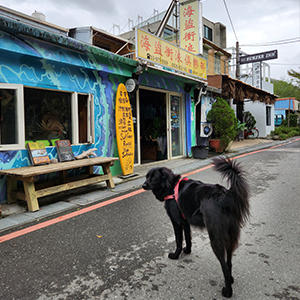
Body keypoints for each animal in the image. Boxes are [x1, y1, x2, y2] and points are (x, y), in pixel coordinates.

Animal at [142, 157, 250, 298]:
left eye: (153, 178)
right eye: (146, 176)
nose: (143, 185)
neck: (170, 186)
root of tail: (225, 195)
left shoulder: (176, 222)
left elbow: (178, 241)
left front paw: (176, 255)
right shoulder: (185, 221)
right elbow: (188, 238)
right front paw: (187, 251)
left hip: (216, 238)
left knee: (224, 266)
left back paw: (227, 291)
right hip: (230, 237)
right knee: (229, 262)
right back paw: (231, 280)